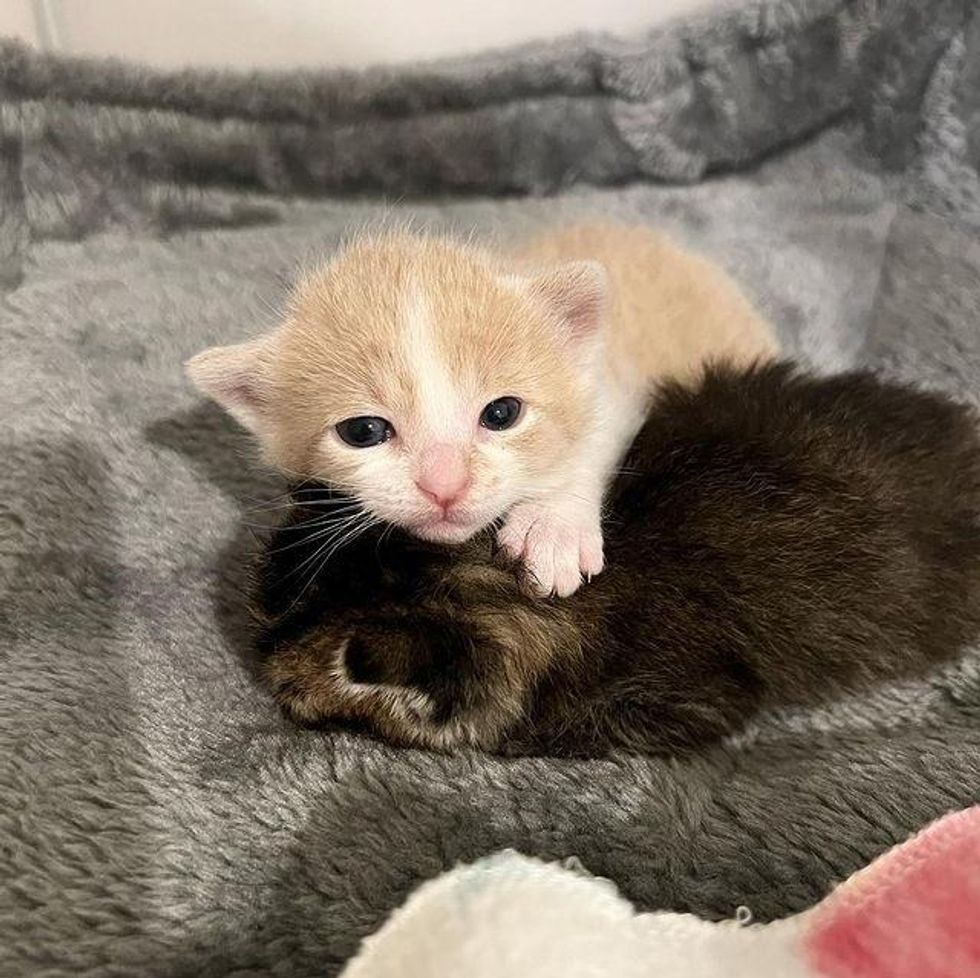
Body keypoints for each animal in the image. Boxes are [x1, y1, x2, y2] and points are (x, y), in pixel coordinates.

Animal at [188, 223, 776, 596]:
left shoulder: (612, 386)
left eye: (501, 414)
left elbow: (589, 440)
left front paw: (552, 525)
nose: (445, 486)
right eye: (363, 430)